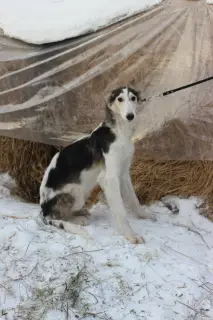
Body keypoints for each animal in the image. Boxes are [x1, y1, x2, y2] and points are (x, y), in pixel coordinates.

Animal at [39, 86, 155, 244]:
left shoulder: (124, 173)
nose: (130, 116)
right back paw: (78, 220)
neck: (119, 131)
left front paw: (144, 215)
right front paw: (131, 235)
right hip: (76, 192)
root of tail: (44, 209)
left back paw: (81, 212)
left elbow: (134, 200)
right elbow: (121, 211)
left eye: (133, 98)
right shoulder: (109, 178)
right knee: (59, 217)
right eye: (120, 99)